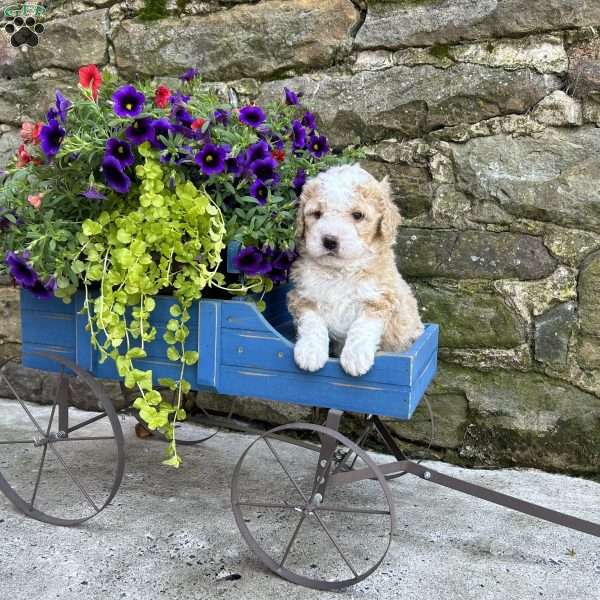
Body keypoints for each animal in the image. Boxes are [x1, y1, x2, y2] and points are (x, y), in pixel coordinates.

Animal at [286, 163, 422, 376]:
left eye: (357, 215)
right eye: (317, 214)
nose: (329, 240)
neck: (339, 272)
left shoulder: (381, 298)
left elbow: (362, 326)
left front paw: (355, 357)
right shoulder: (302, 296)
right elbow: (312, 322)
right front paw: (310, 352)